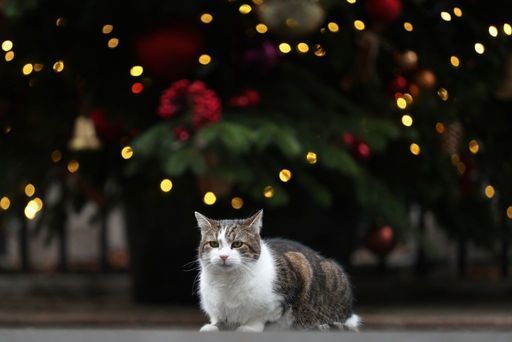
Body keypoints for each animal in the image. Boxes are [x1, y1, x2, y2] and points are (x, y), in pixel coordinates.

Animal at [195, 208, 360, 332]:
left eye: (237, 244)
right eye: (214, 244)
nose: (223, 256)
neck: (227, 281)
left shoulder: (297, 267)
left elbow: (261, 316)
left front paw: (249, 327)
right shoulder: (215, 308)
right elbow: (218, 318)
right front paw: (213, 326)